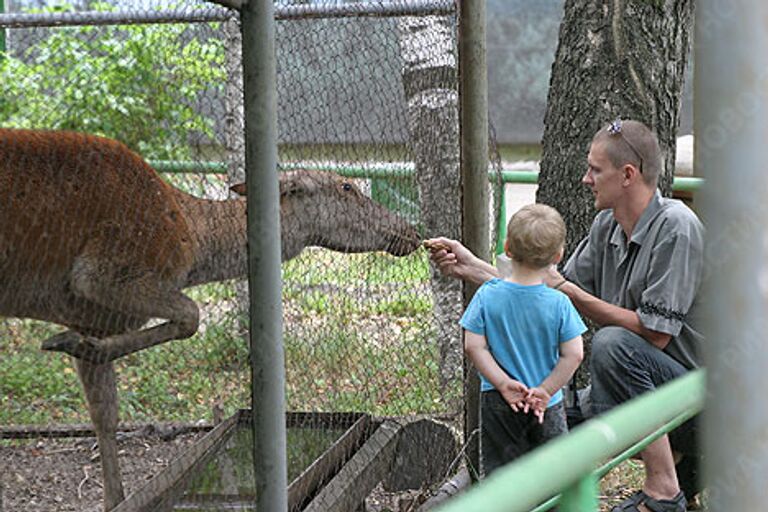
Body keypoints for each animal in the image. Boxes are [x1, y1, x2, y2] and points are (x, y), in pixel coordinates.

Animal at [0, 127, 420, 508]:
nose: (410, 231)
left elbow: (105, 413)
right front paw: (62, 341)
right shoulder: (99, 272)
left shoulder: (93, 318)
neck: (195, 248)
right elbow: (192, 315)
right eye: (347, 187)